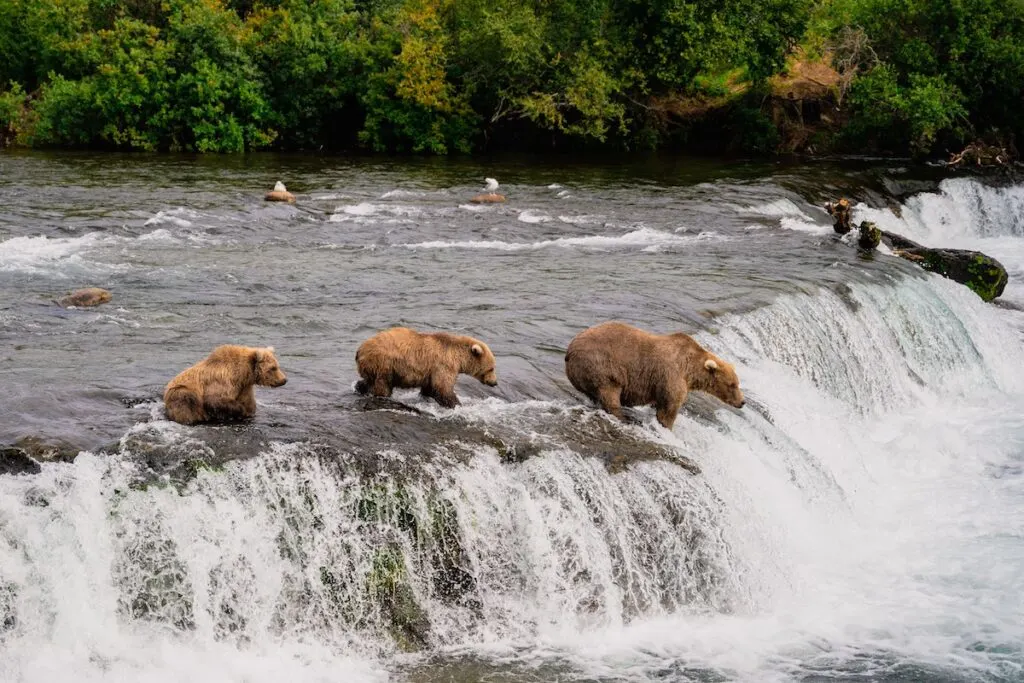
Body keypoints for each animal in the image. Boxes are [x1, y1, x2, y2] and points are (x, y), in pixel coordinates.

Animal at [356, 327, 499, 409]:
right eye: (491, 368)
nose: (495, 382)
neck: (458, 358)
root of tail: (360, 349)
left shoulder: (431, 371)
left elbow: (430, 388)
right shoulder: (444, 365)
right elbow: (443, 388)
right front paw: (457, 405)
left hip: (373, 366)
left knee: (368, 381)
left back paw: (360, 388)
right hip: (384, 364)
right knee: (383, 385)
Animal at [565, 323, 749, 430]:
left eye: (737, 383)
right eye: (732, 384)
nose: (742, 402)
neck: (690, 370)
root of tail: (569, 351)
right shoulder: (671, 376)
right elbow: (669, 409)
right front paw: (666, 426)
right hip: (602, 366)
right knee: (609, 394)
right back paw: (624, 417)